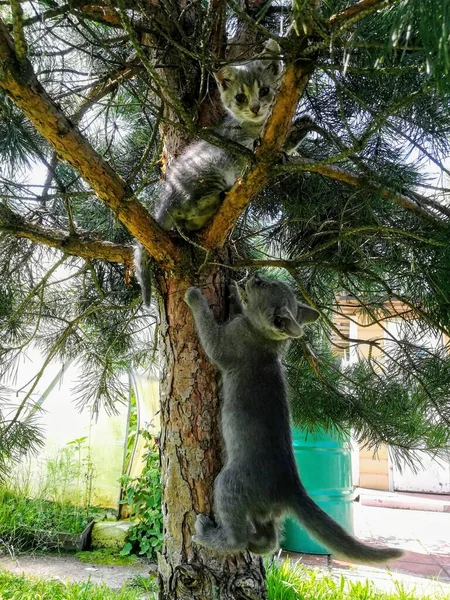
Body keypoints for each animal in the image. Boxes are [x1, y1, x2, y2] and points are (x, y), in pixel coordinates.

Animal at [185, 276, 402, 564]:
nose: (253, 277)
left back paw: (208, 534)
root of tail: (291, 486)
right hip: (264, 511)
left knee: (236, 538)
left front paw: (194, 296)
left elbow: (210, 335)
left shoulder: (228, 343)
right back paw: (255, 544)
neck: (269, 343)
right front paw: (233, 294)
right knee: (270, 538)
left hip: (229, 482)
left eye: (263, 285)